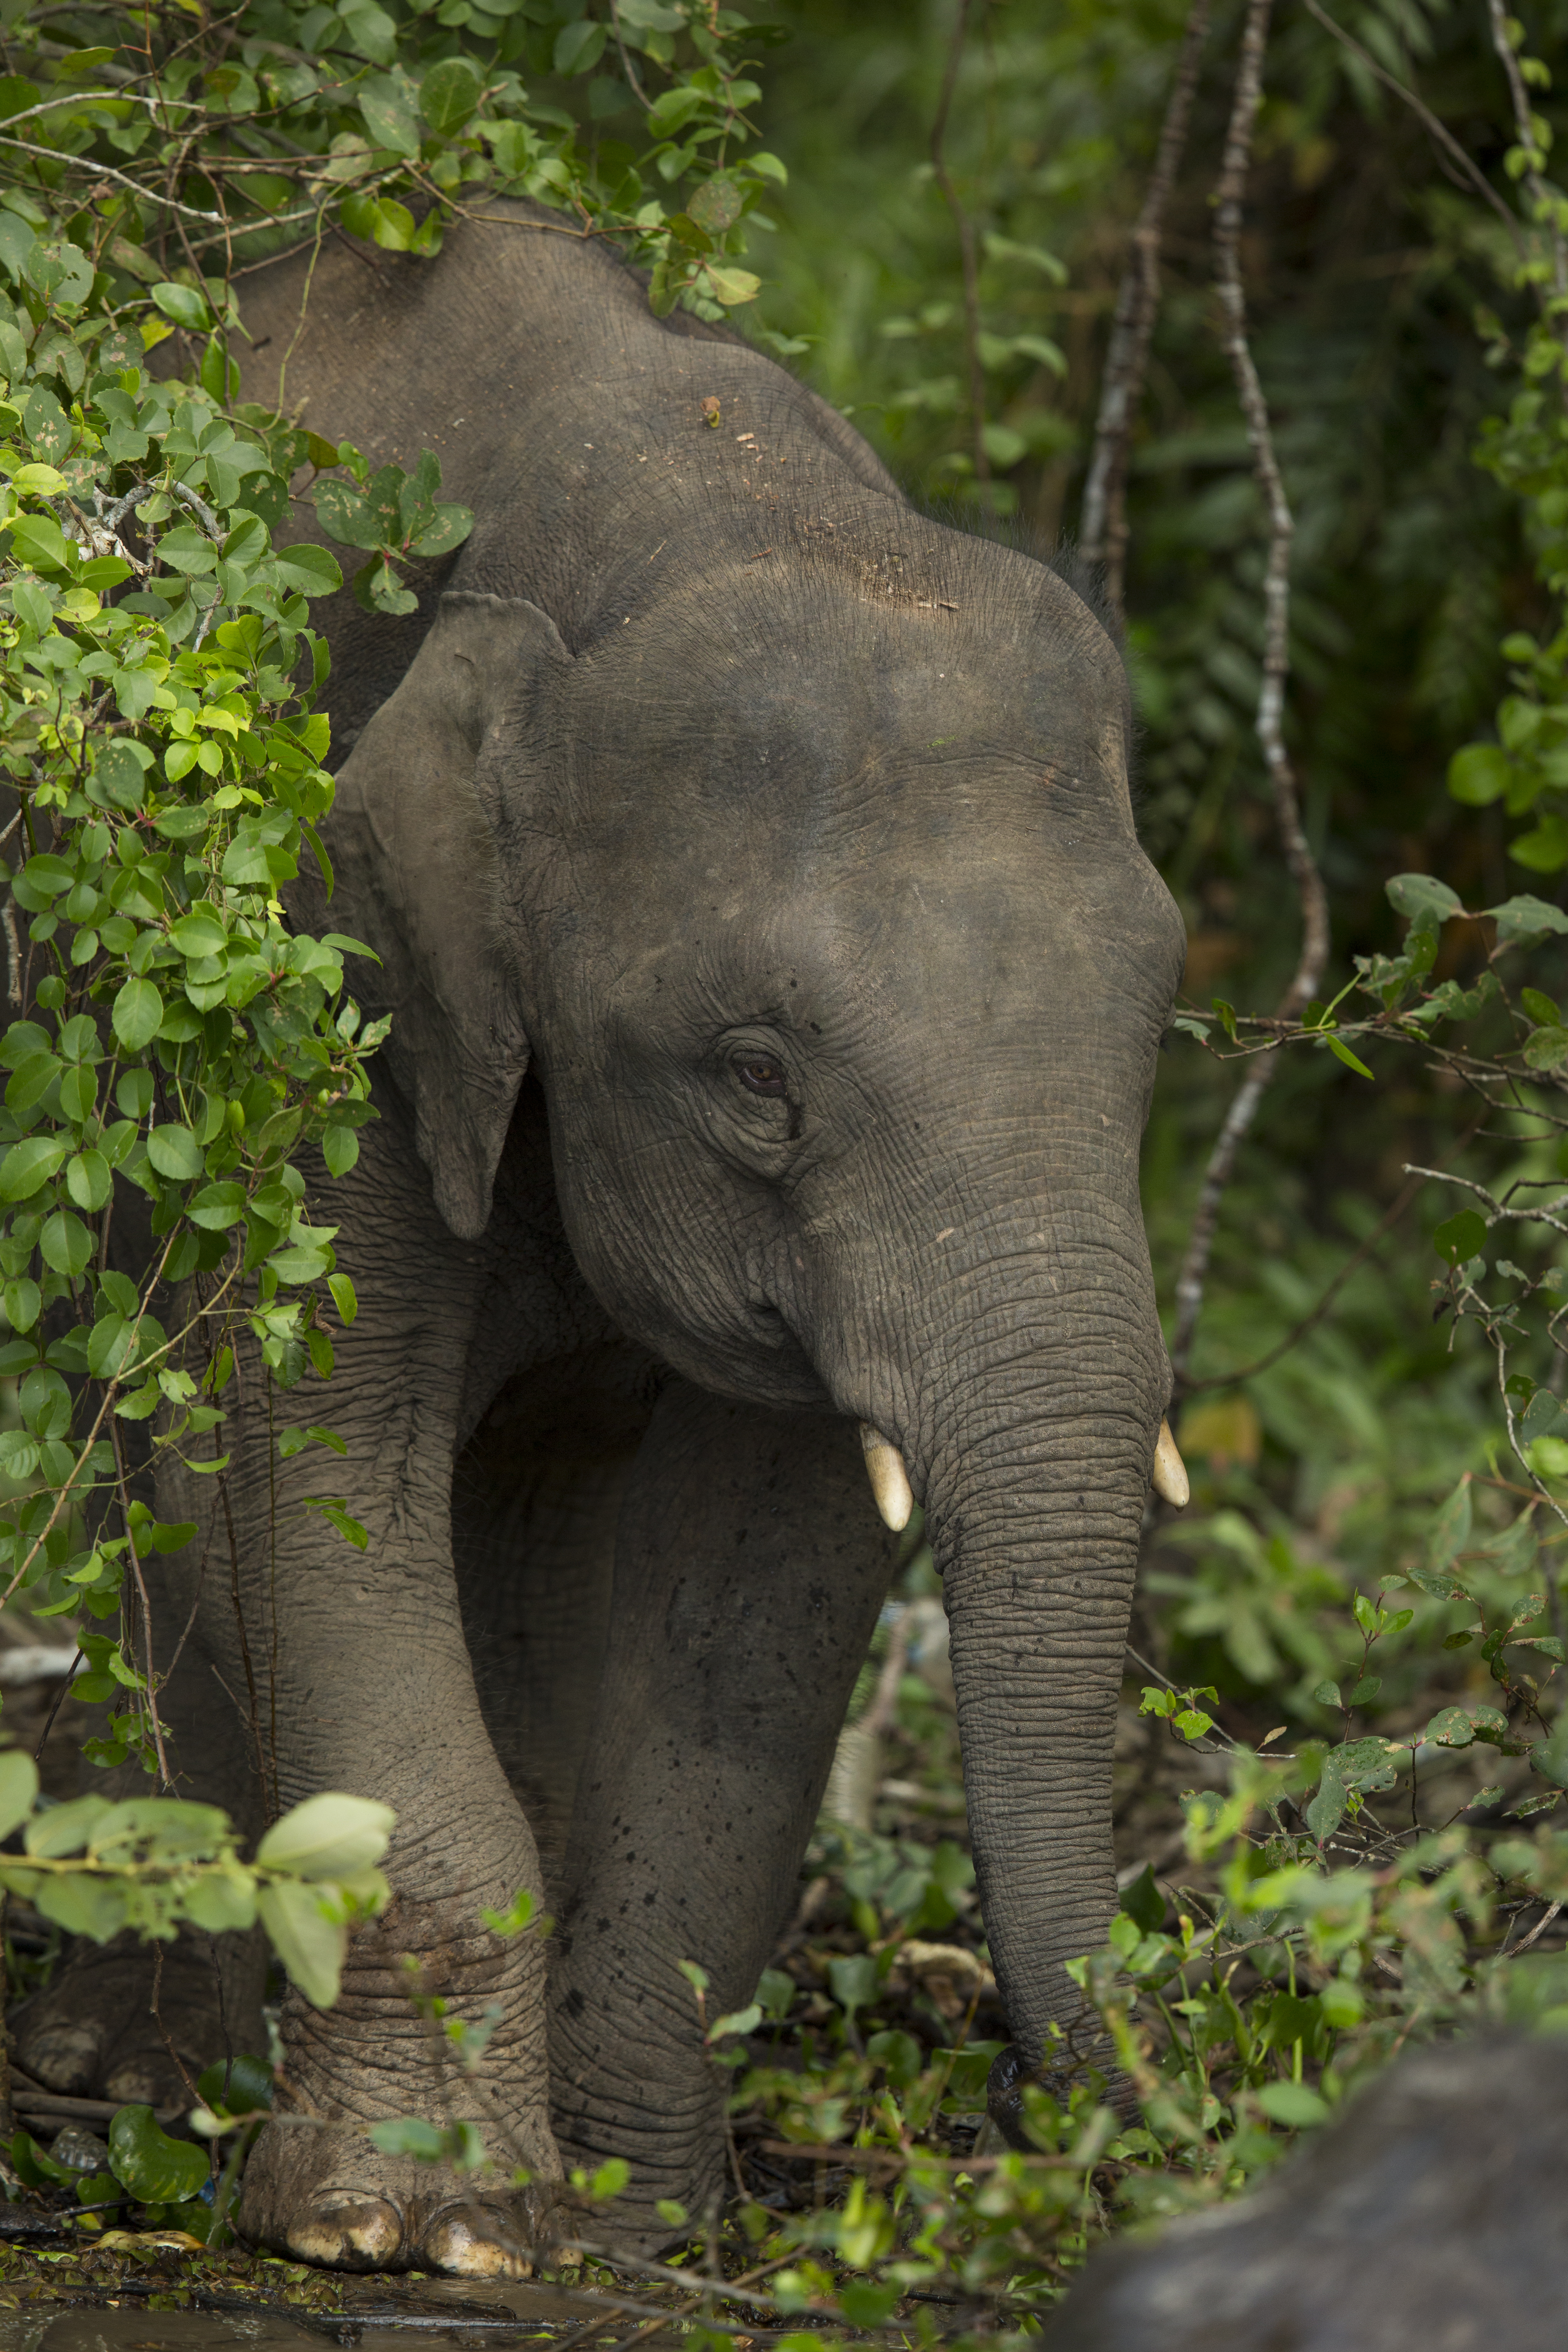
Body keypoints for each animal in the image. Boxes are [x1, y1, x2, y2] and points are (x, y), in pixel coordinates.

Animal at [12, 198, 1188, 2275]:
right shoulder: (320, 974)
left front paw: (643, 2222)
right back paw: (127, 2072)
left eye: (1164, 1013)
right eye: (758, 1075)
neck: (665, 501)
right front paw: (421, 2229)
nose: (1104, 2127)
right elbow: (294, 1477)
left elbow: (765, 1579)